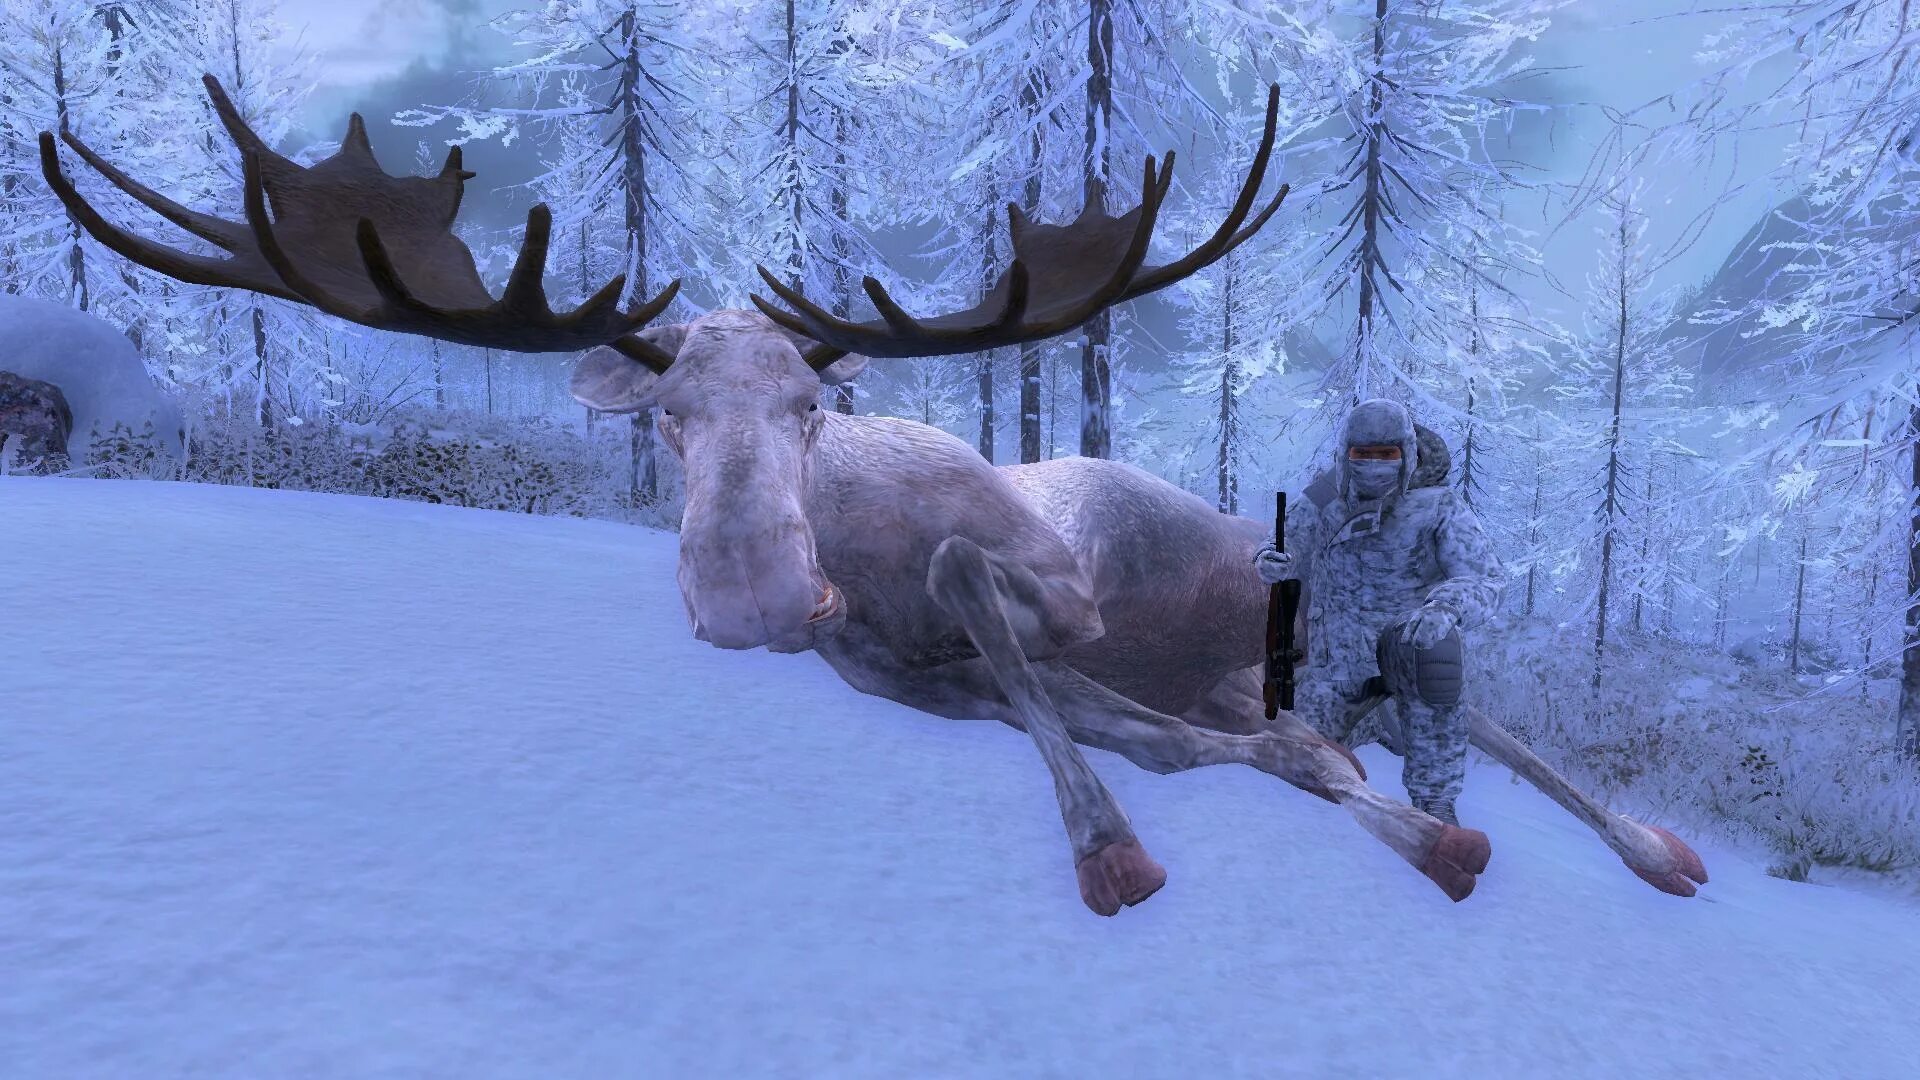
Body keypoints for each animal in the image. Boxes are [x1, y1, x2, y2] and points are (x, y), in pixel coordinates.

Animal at [37, 76, 1708, 914]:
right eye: (666, 428)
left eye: (812, 407)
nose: (755, 598)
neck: (872, 568)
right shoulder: (935, 686)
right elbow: (1184, 749)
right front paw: (1148, 826)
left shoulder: (1057, 582)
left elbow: (1022, 609)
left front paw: (1138, 846)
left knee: (1487, 711)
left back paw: (1650, 846)